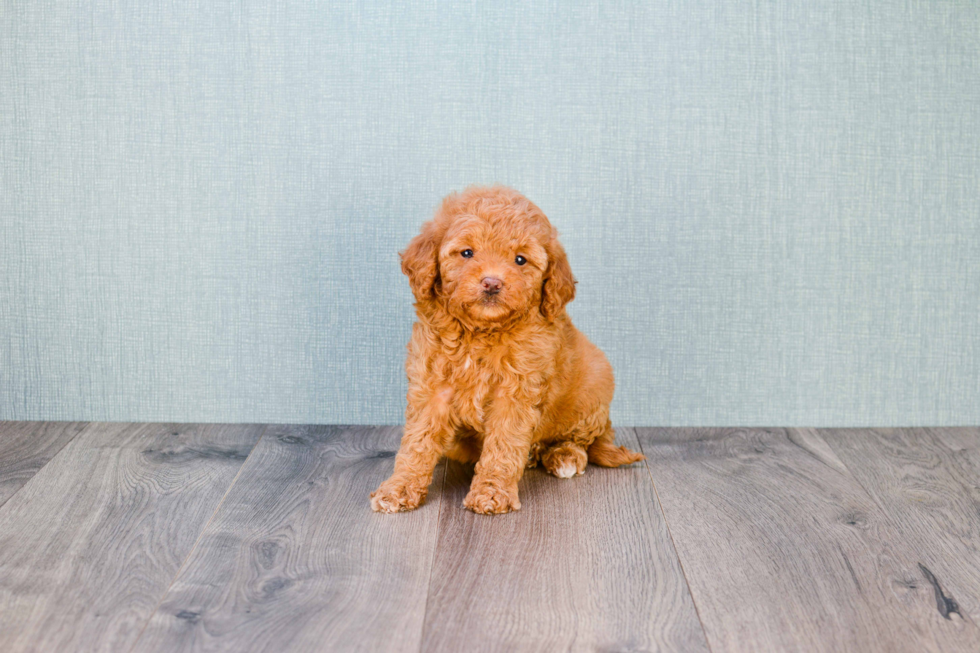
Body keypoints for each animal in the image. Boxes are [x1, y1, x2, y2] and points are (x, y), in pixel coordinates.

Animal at [370, 185, 644, 516]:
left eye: (520, 260)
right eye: (467, 253)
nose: (492, 282)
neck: (480, 332)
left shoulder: (515, 392)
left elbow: (504, 443)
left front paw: (491, 492)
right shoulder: (432, 387)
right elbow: (417, 441)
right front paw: (398, 487)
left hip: (593, 387)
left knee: (582, 439)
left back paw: (564, 456)